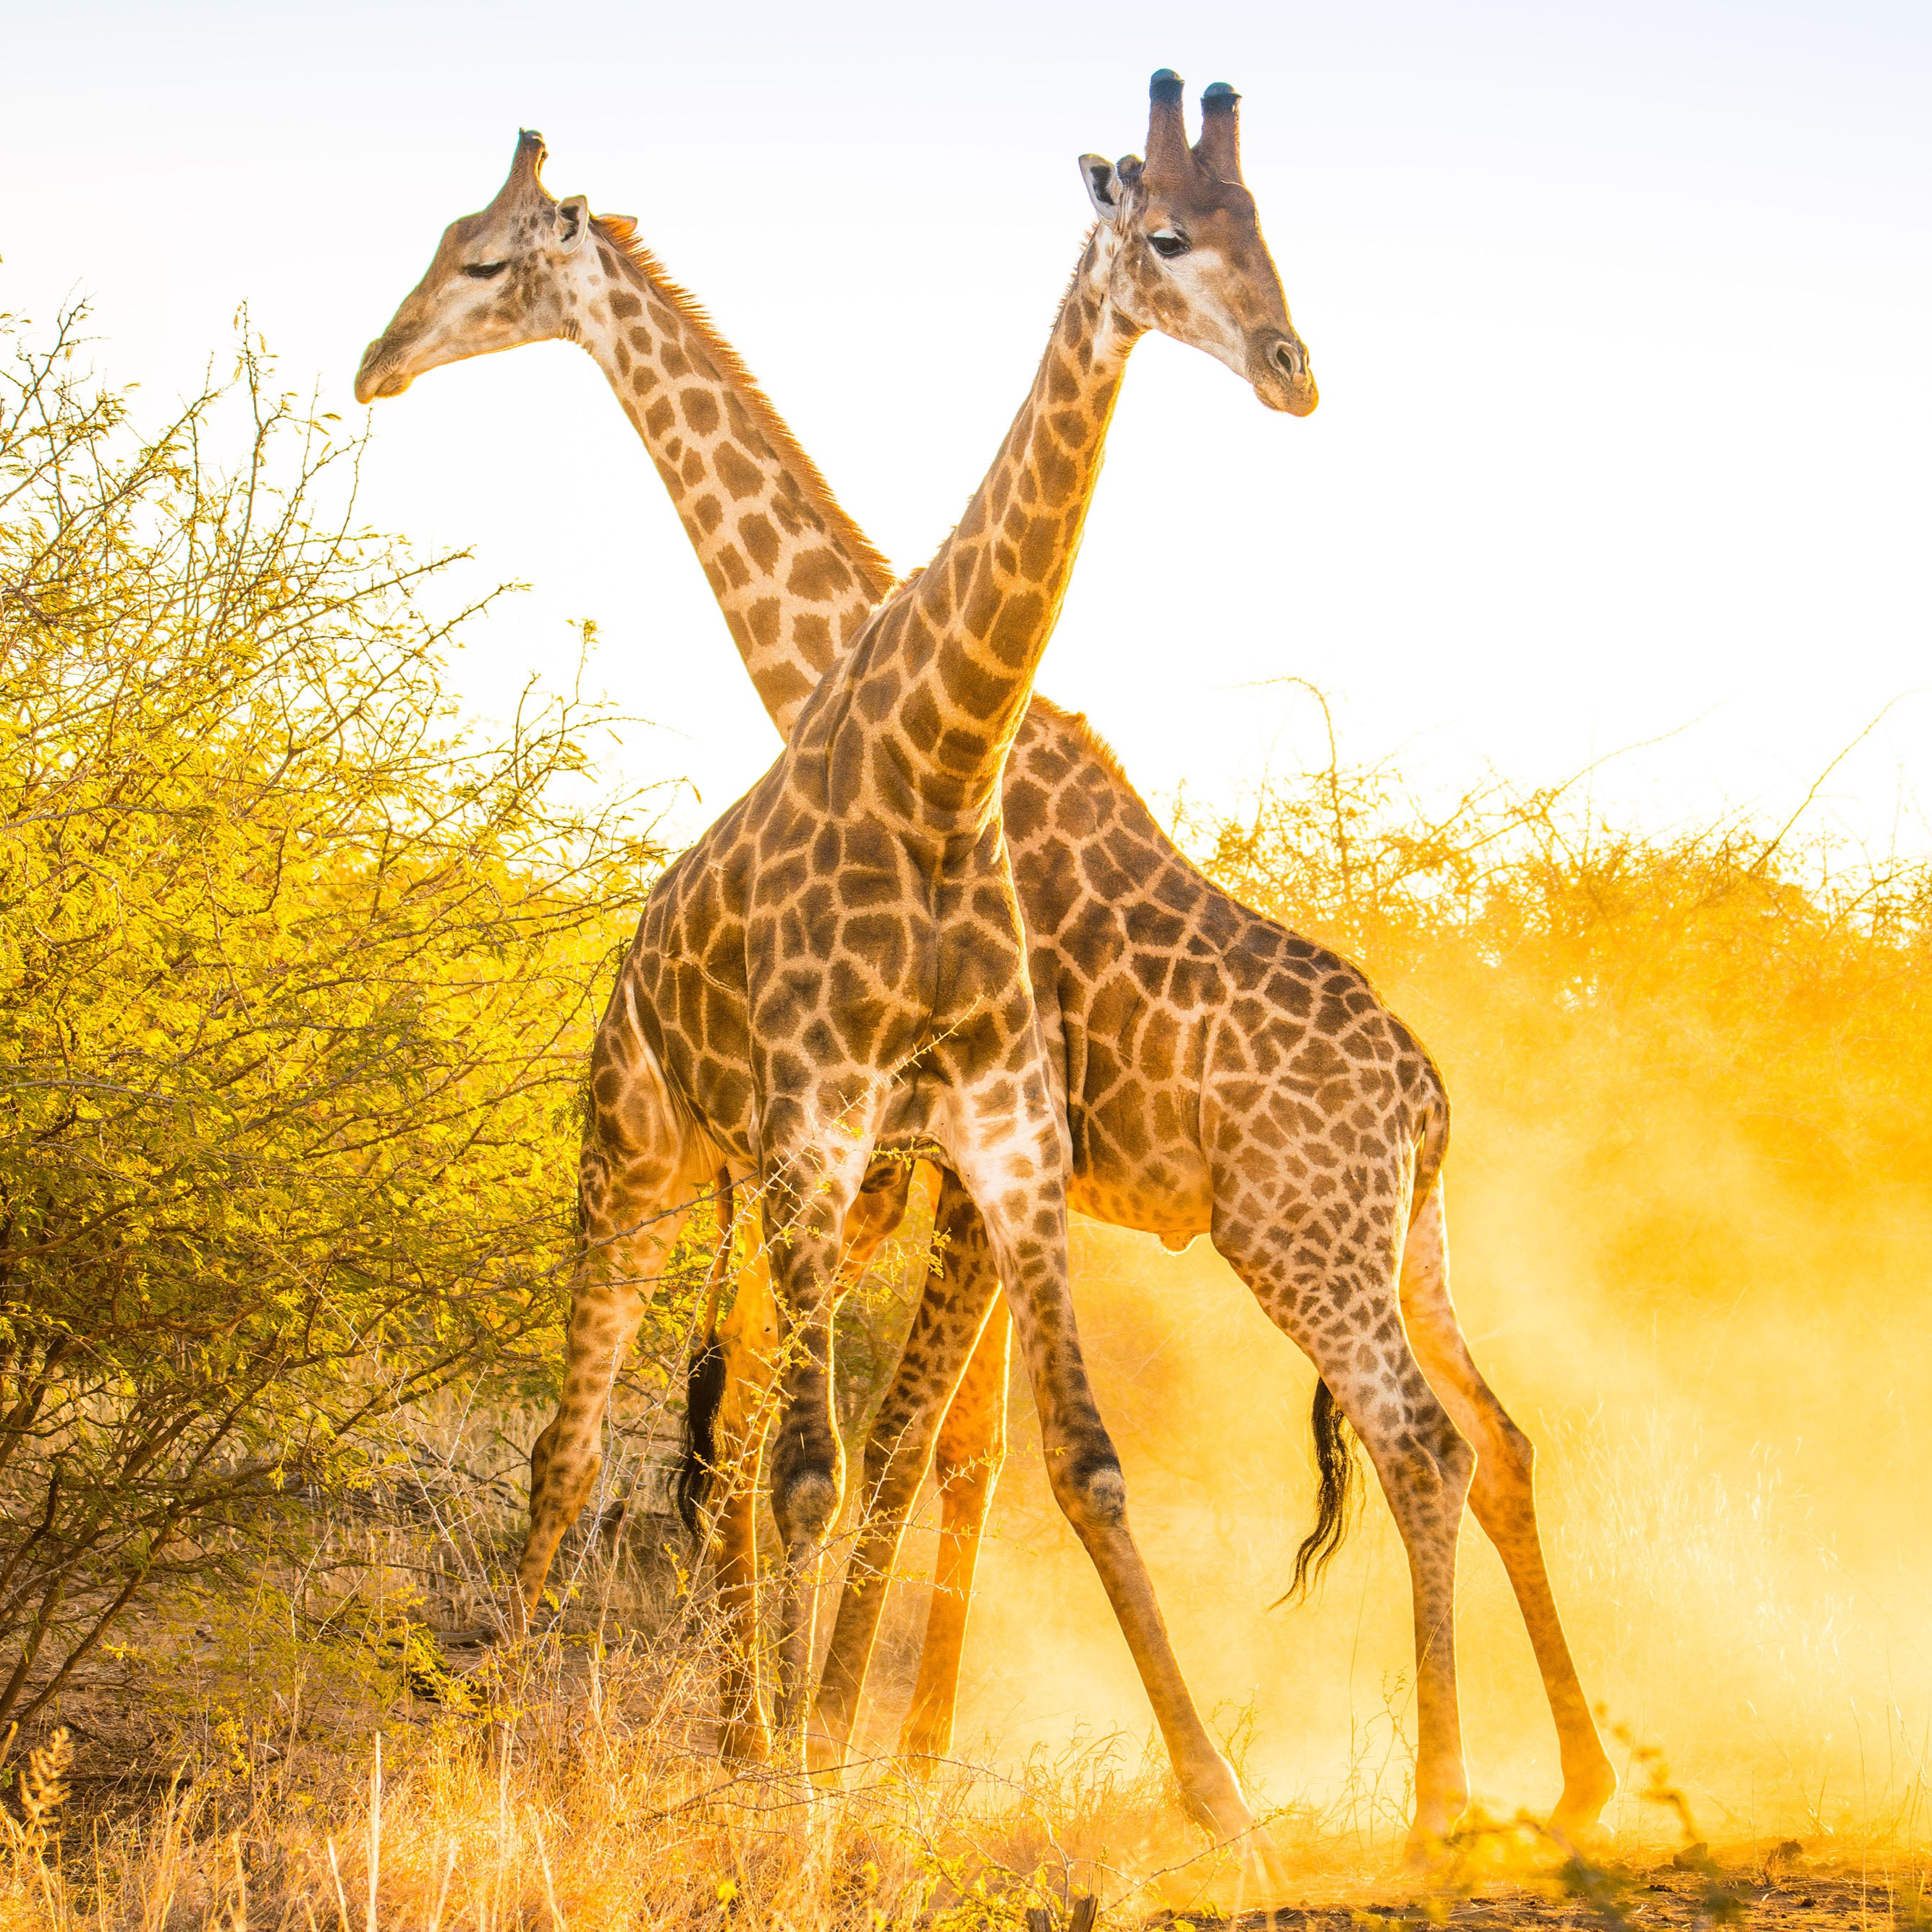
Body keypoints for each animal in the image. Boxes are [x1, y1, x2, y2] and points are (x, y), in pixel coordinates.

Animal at [356, 83, 1616, 1854]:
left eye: (479, 261)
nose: (378, 360)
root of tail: (1430, 1095)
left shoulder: (975, 1157)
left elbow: (914, 1448)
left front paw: (855, 1741)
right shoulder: (940, 1163)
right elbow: (937, 1448)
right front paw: (878, 1746)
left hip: (1302, 1238)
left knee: (1421, 1442)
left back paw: (1448, 1795)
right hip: (1410, 1242)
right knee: (1499, 1439)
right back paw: (1571, 1780)